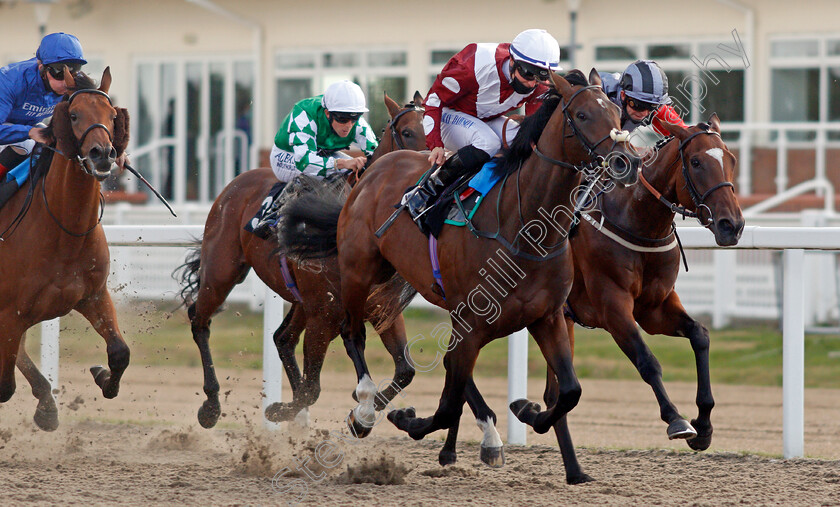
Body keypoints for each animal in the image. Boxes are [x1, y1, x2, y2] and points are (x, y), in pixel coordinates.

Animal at [0, 68, 130, 432]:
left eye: (112, 115)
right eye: (73, 115)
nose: (103, 154)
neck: (64, 233)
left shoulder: (93, 295)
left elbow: (120, 352)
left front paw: (102, 376)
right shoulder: (9, 314)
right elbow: (4, 387)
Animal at [177, 91, 426, 428]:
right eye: (408, 132)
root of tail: (234, 186)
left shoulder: (378, 308)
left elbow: (405, 370)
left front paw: (362, 411)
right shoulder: (324, 315)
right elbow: (313, 389)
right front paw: (280, 410)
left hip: (300, 299)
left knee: (282, 338)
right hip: (222, 272)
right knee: (199, 320)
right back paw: (211, 405)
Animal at [278, 68, 640, 484]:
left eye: (615, 111)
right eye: (581, 115)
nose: (628, 161)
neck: (521, 227)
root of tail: (371, 172)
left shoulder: (546, 317)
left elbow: (569, 391)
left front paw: (530, 414)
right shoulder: (469, 322)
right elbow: (449, 403)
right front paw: (406, 419)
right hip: (358, 271)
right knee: (351, 332)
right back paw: (366, 407)